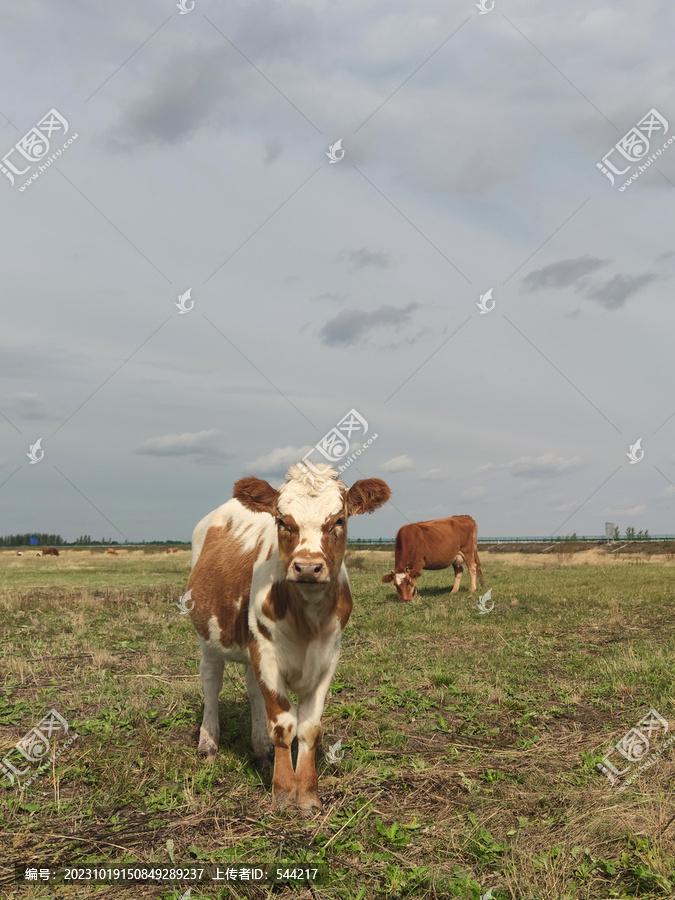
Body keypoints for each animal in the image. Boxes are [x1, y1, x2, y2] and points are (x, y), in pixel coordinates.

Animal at [189, 468, 390, 812]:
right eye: (283, 521)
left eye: (339, 520)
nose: (308, 567)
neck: (307, 618)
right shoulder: (267, 652)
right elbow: (283, 724)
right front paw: (283, 790)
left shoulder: (328, 657)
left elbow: (309, 728)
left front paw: (307, 792)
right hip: (208, 635)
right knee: (212, 680)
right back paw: (208, 743)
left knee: (252, 688)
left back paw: (260, 748)